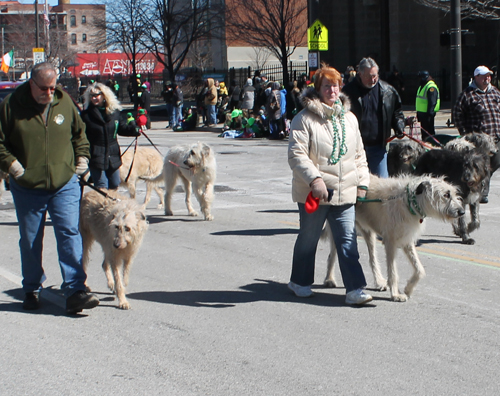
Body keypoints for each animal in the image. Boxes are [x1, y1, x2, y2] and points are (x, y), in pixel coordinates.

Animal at [324, 175, 464, 302]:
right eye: (446, 195)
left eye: (453, 193)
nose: (462, 212)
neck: (409, 202)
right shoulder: (390, 241)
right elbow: (393, 272)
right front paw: (396, 295)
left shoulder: (407, 240)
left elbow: (420, 269)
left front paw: (408, 289)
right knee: (332, 254)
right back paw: (329, 279)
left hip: (367, 231)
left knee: (372, 257)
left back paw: (379, 282)